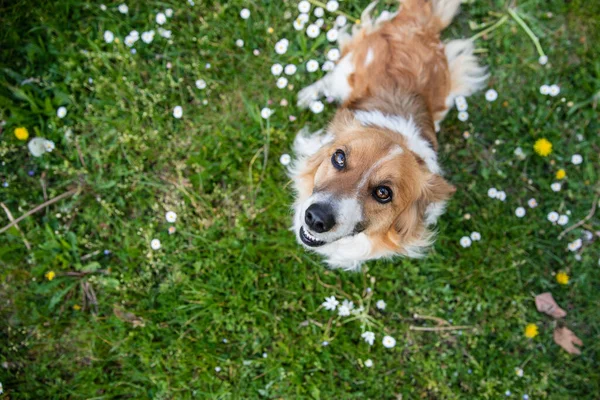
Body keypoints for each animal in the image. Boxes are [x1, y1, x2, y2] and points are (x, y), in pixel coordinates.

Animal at [290, 0, 488, 270]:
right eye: (339, 158)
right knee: (329, 77)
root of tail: (418, 25)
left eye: (383, 193)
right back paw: (308, 94)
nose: (315, 218)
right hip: (346, 73)